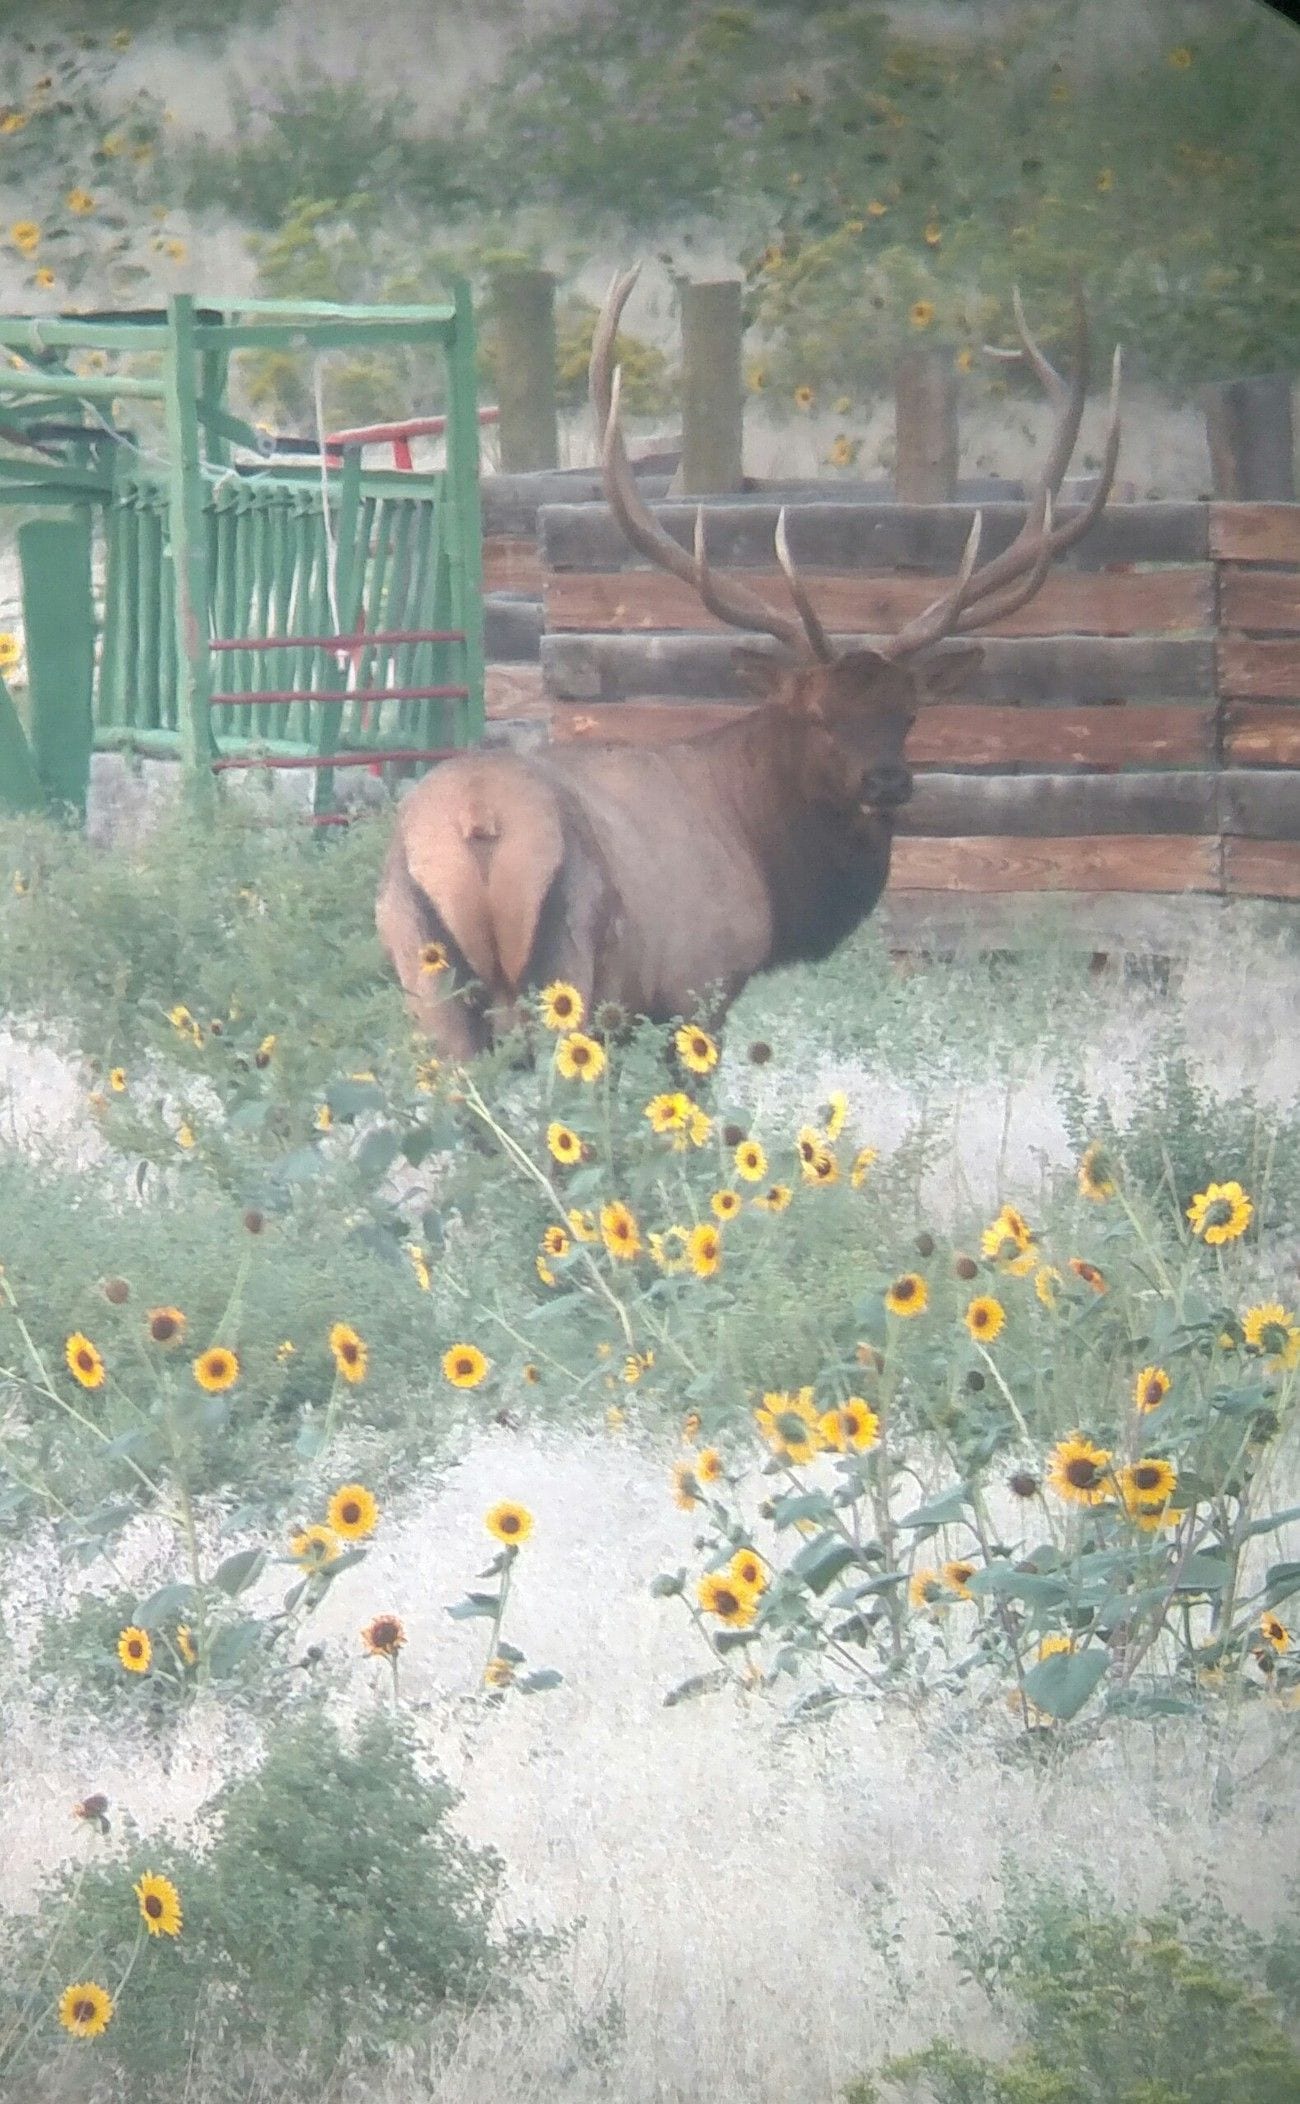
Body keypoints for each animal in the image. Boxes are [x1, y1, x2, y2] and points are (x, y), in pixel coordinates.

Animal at [376, 269, 1121, 1056]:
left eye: (910, 712)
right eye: (818, 714)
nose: (888, 780)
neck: (762, 859)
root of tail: (478, 823)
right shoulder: (698, 986)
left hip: (425, 983)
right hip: (565, 976)